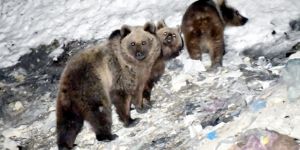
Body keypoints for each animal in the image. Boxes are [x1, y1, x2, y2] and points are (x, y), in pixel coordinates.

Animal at [55, 21, 161, 149]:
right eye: (132, 43)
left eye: (144, 42)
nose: (139, 54)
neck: (135, 65)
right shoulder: (119, 72)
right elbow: (122, 95)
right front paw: (131, 119)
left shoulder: (140, 75)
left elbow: (138, 89)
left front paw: (143, 105)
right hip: (92, 87)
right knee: (100, 112)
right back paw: (108, 135)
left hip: (67, 102)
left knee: (69, 122)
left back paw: (67, 144)